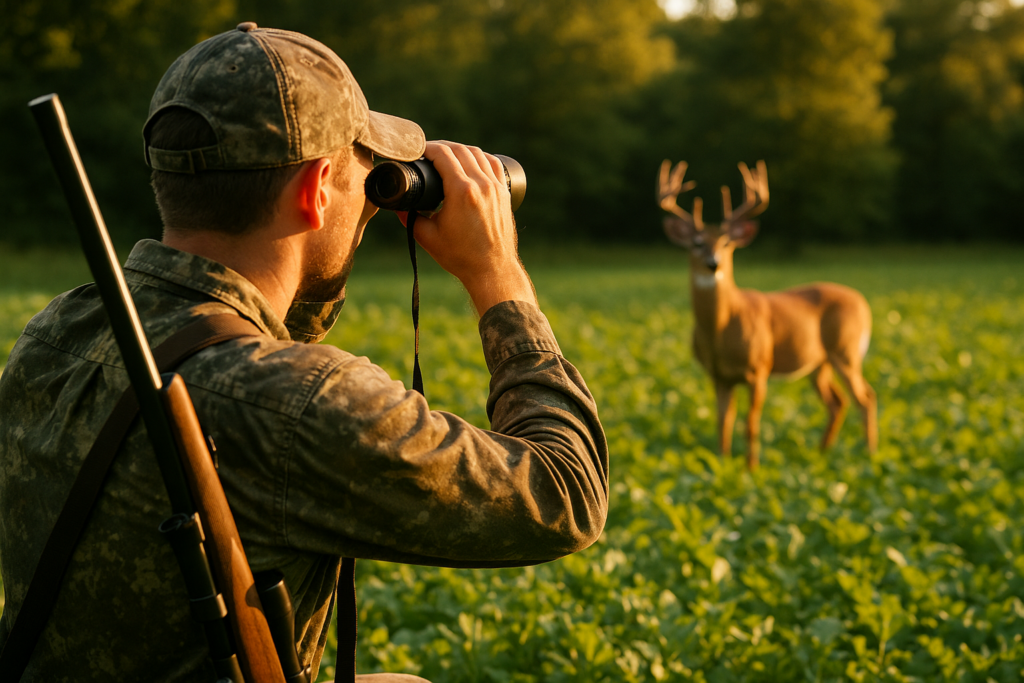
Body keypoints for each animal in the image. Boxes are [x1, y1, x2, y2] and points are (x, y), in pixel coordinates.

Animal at [658, 159, 877, 469]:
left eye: (726, 243)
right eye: (696, 243)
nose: (713, 264)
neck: (721, 331)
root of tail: (861, 300)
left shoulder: (759, 368)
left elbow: (751, 424)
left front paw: (751, 469)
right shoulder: (719, 375)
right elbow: (723, 423)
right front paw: (721, 466)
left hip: (845, 350)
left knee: (865, 397)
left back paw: (870, 455)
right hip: (818, 363)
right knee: (838, 402)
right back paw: (820, 454)